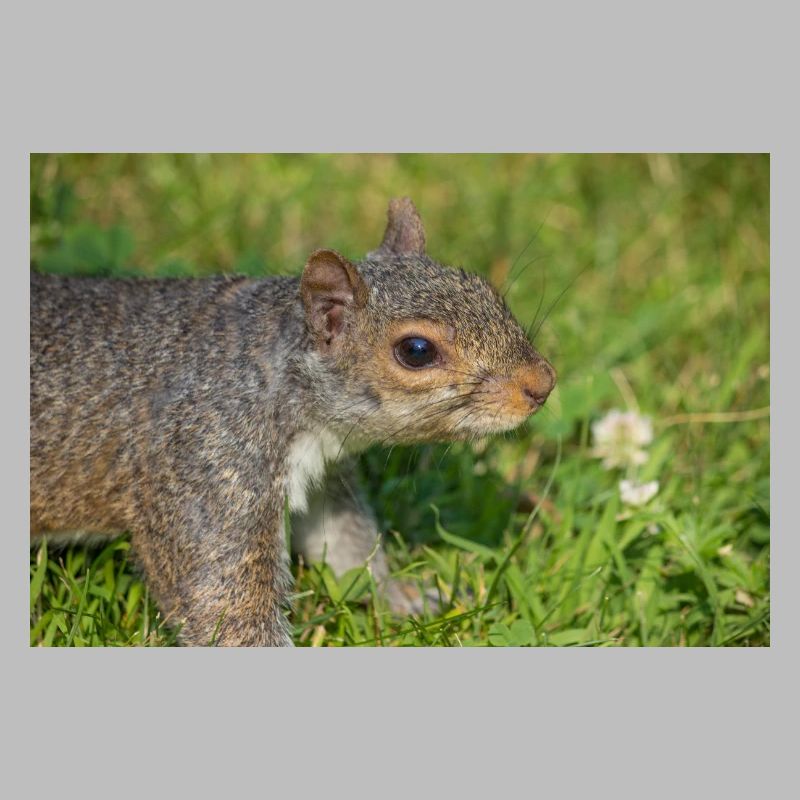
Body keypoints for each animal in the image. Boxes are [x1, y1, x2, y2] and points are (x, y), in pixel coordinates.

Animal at [30, 197, 556, 646]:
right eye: (416, 350)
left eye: (484, 288)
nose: (542, 384)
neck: (274, 372)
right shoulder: (203, 468)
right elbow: (221, 601)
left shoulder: (324, 476)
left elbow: (345, 546)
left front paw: (406, 598)